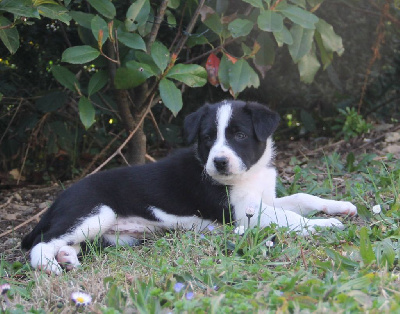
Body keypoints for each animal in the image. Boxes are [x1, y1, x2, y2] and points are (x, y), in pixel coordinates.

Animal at [21, 99, 356, 274]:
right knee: (41, 243)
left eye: (240, 135)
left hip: (113, 235)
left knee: (65, 242)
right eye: (207, 137)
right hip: (94, 212)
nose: (219, 162)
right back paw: (50, 266)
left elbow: (302, 197)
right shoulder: (244, 215)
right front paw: (324, 225)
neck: (247, 175)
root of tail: (56, 200)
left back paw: (66, 258)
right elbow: (290, 218)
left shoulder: (263, 201)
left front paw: (341, 207)